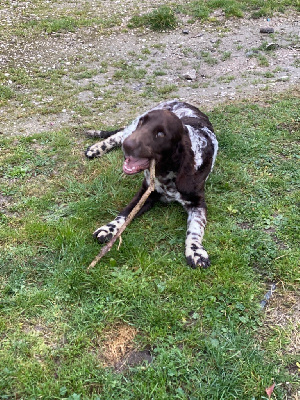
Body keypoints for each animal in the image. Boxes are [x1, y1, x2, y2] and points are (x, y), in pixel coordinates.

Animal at [85, 100, 219, 268]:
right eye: (143, 122)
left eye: (160, 134)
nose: (127, 146)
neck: (167, 173)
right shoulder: (145, 192)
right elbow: (125, 213)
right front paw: (109, 228)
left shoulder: (198, 202)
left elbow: (195, 228)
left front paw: (195, 250)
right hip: (129, 130)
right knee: (119, 134)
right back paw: (97, 148)